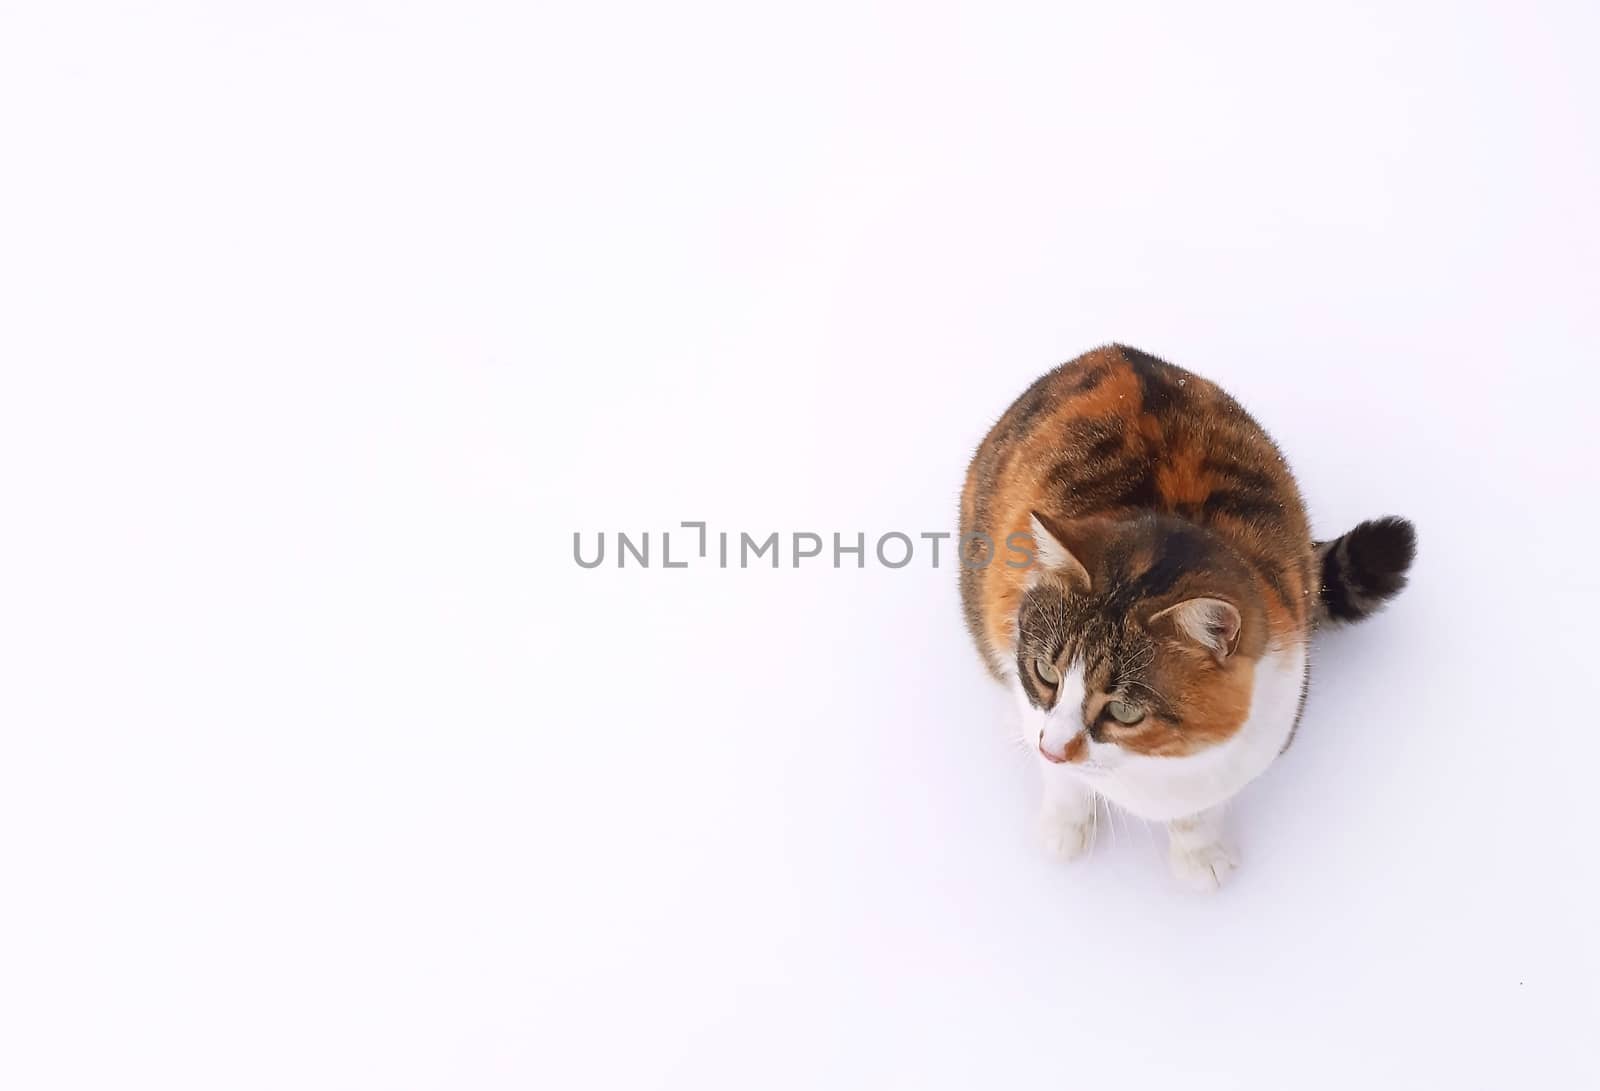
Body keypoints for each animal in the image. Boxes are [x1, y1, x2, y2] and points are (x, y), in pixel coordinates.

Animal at [953, 343, 1420, 889]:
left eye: (1124, 711)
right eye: (1045, 672)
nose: (1053, 748)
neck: (1155, 763)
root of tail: (1113, 351)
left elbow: (1199, 813)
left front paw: (1200, 856)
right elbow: (1062, 780)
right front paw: (1064, 829)